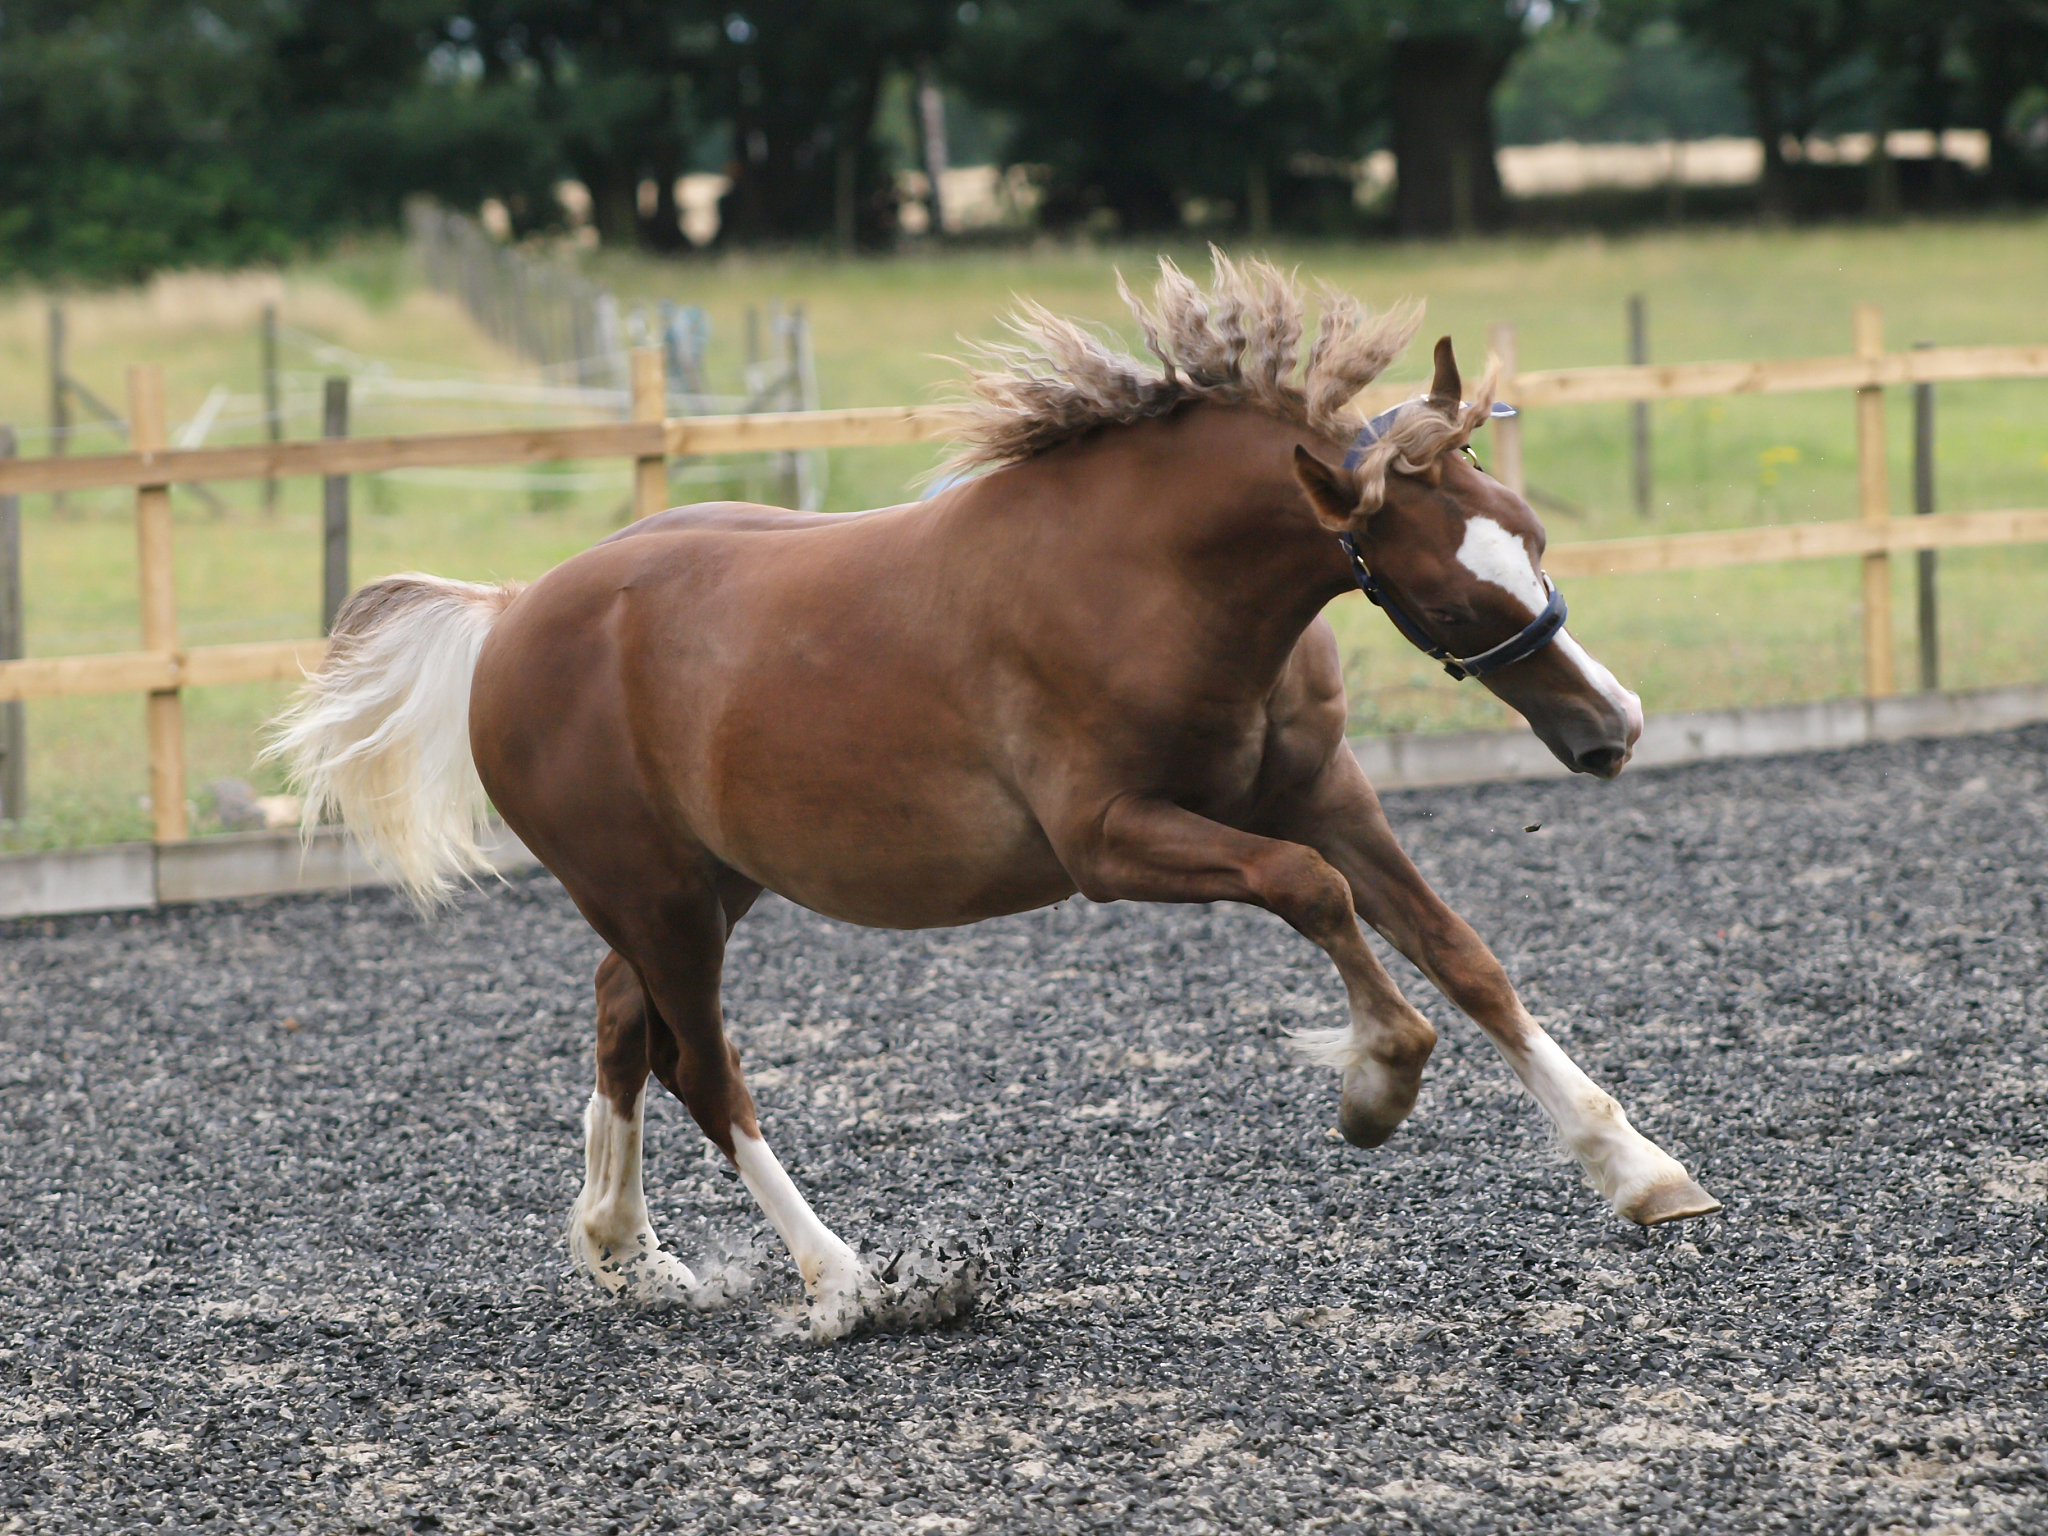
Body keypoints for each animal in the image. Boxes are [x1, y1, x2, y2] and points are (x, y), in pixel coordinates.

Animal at [273, 254, 1720, 1337]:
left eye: (1530, 538)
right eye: (1454, 595)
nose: (1612, 728)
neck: (1158, 582)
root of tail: (511, 613)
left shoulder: (1322, 789)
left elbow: (1465, 957)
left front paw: (1641, 1172)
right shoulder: (1111, 844)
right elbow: (1312, 899)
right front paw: (1375, 1084)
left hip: (695, 886)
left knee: (621, 1025)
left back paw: (625, 1251)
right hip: (657, 895)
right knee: (702, 1069)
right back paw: (844, 1283)